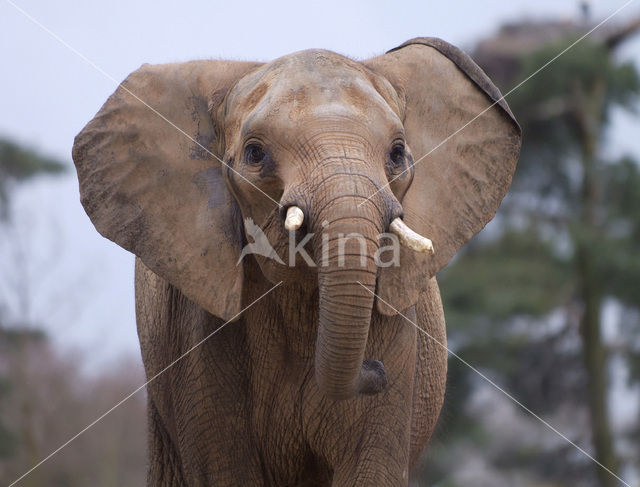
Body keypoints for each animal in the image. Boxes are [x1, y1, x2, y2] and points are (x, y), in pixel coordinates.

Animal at [71, 36, 520, 486]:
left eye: (397, 154)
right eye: (255, 154)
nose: (375, 370)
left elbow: (370, 469)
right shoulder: (196, 334)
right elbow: (227, 471)